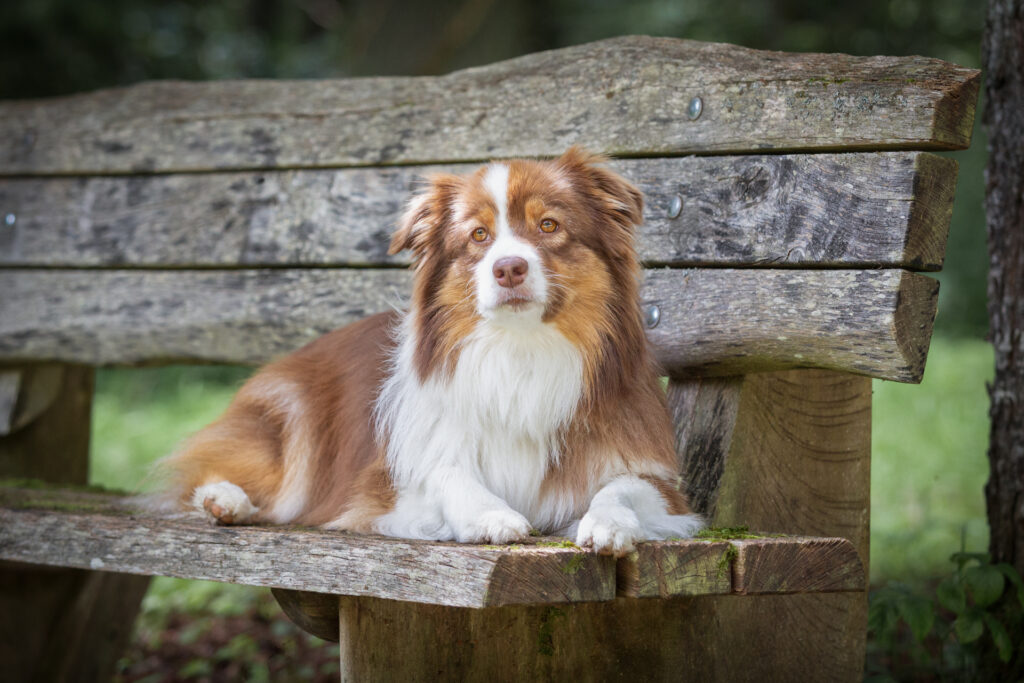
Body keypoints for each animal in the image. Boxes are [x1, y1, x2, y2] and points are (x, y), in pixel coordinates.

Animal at [161, 145, 704, 557]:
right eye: (478, 235)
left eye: (549, 226)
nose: (508, 268)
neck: (520, 349)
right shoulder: (381, 484)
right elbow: (442, 472)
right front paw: (490, 513)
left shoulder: (656, 478)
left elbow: (623, 488)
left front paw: (609, 522)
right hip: (293, 419)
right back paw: (224, 500)